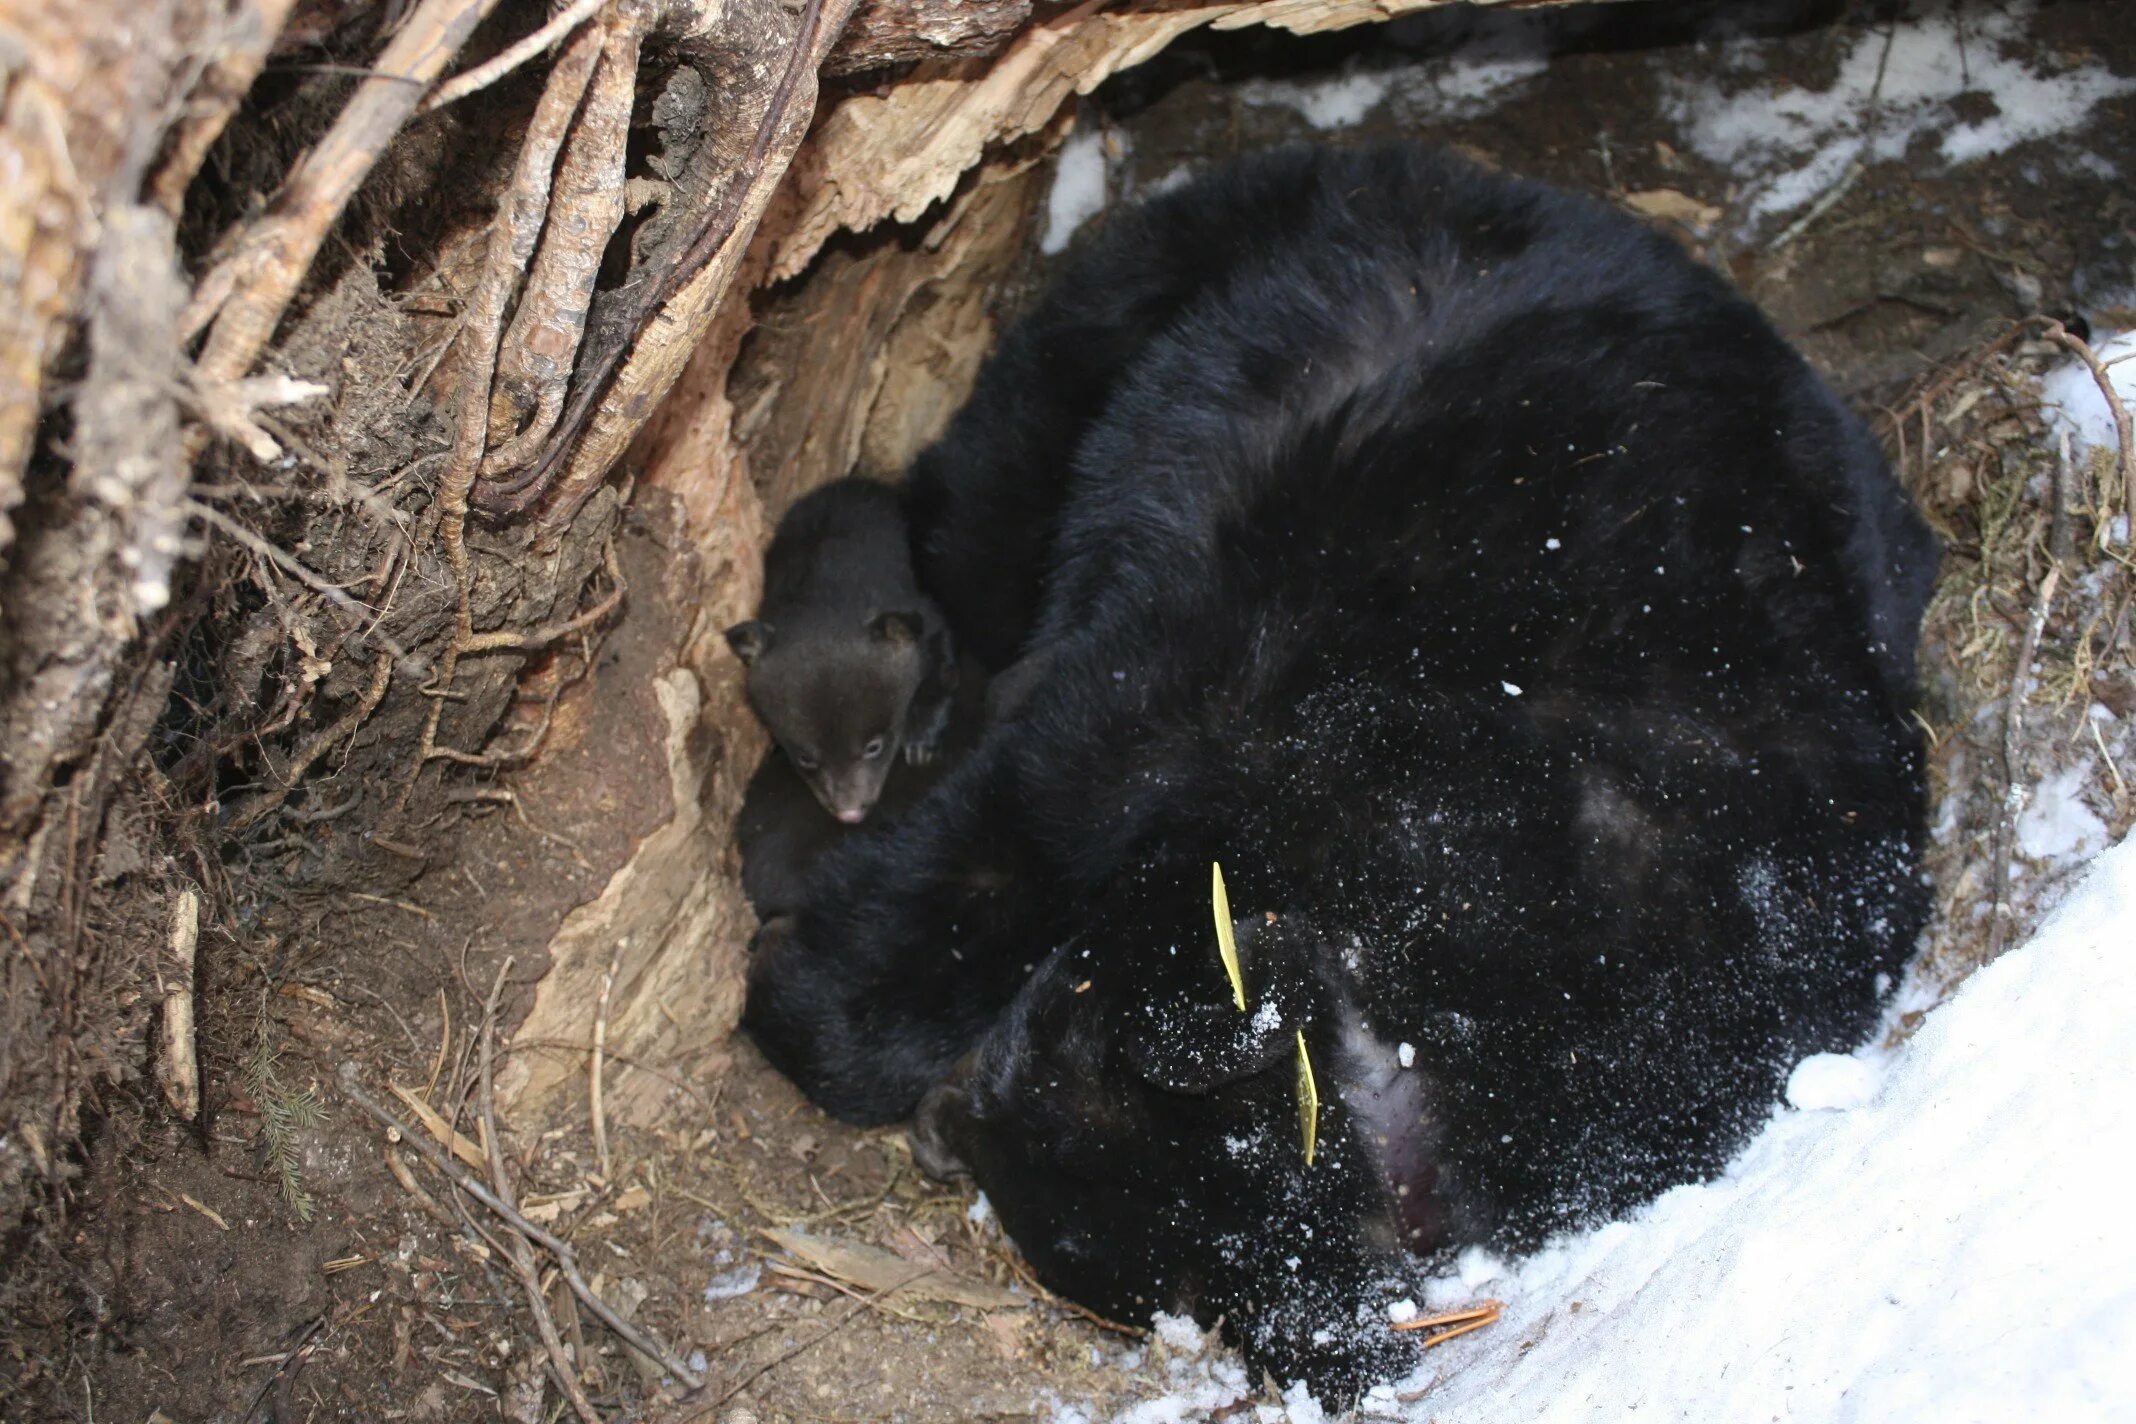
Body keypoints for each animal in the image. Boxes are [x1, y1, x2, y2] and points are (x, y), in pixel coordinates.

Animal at [743, 147, 1948, 1400]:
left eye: (1018, 1087)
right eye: (1031, 1047)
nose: (941, 1132)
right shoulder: (1257, 659)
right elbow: (1023, 817)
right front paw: (809, 999)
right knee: (976, 507)